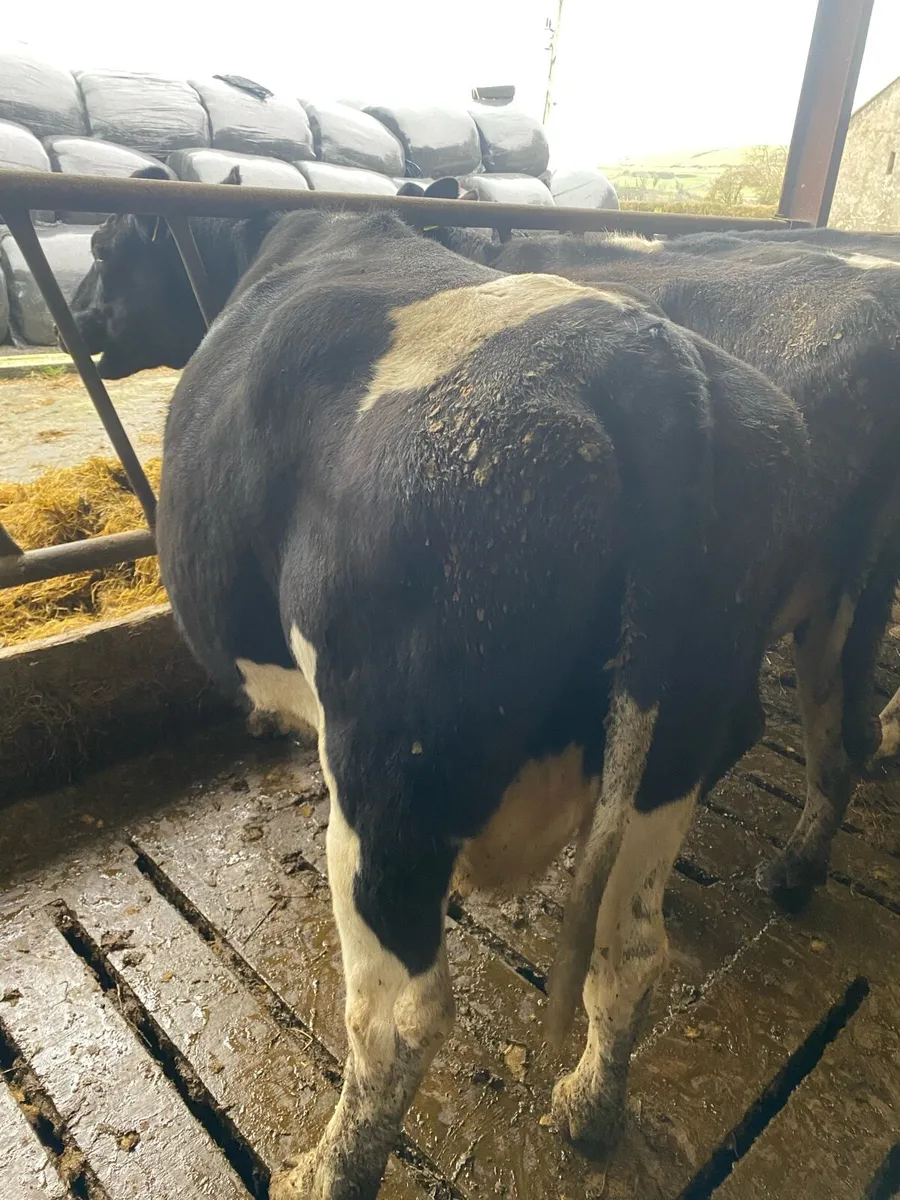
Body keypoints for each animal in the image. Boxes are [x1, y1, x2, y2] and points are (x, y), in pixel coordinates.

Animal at [70, 171, 810, 1198]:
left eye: (103, 248)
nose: (78, 316)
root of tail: (648, 365)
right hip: (675, 744)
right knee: (630, 949)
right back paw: (589, 1106)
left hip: (390, 784)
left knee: (398, 1015)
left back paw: (328, 1169)